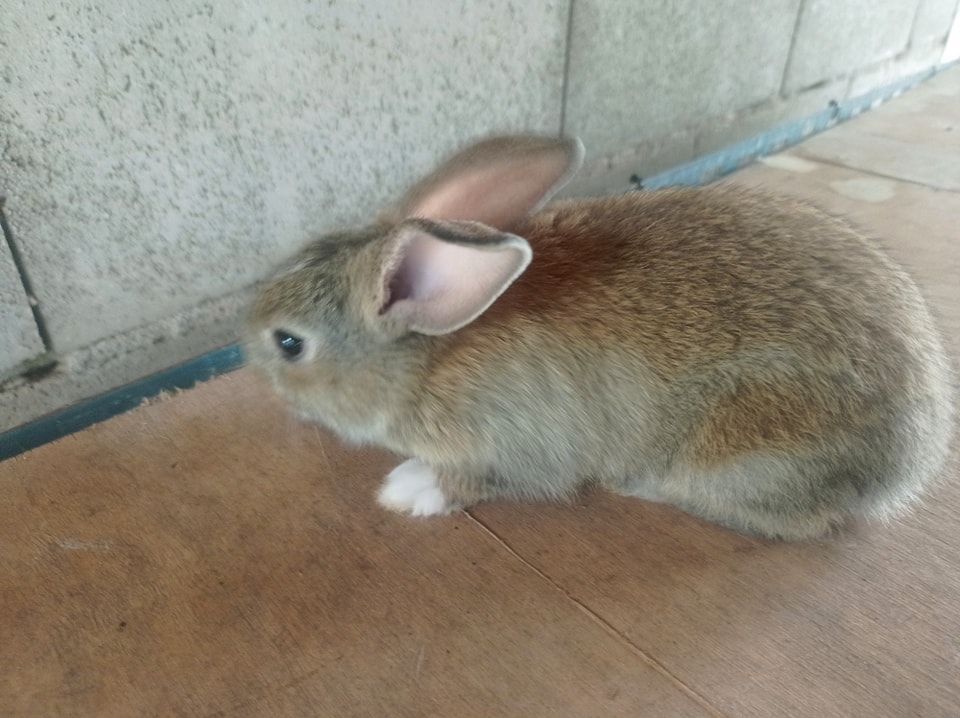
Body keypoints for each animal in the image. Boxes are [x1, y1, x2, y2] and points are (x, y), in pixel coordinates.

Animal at [245, 134, 954, 540]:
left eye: (289, 344)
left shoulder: (515, 445)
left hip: (753, 445)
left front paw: (405, 491)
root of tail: (908, 465)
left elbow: (477, 480)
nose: (256, 361)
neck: (427, 355)